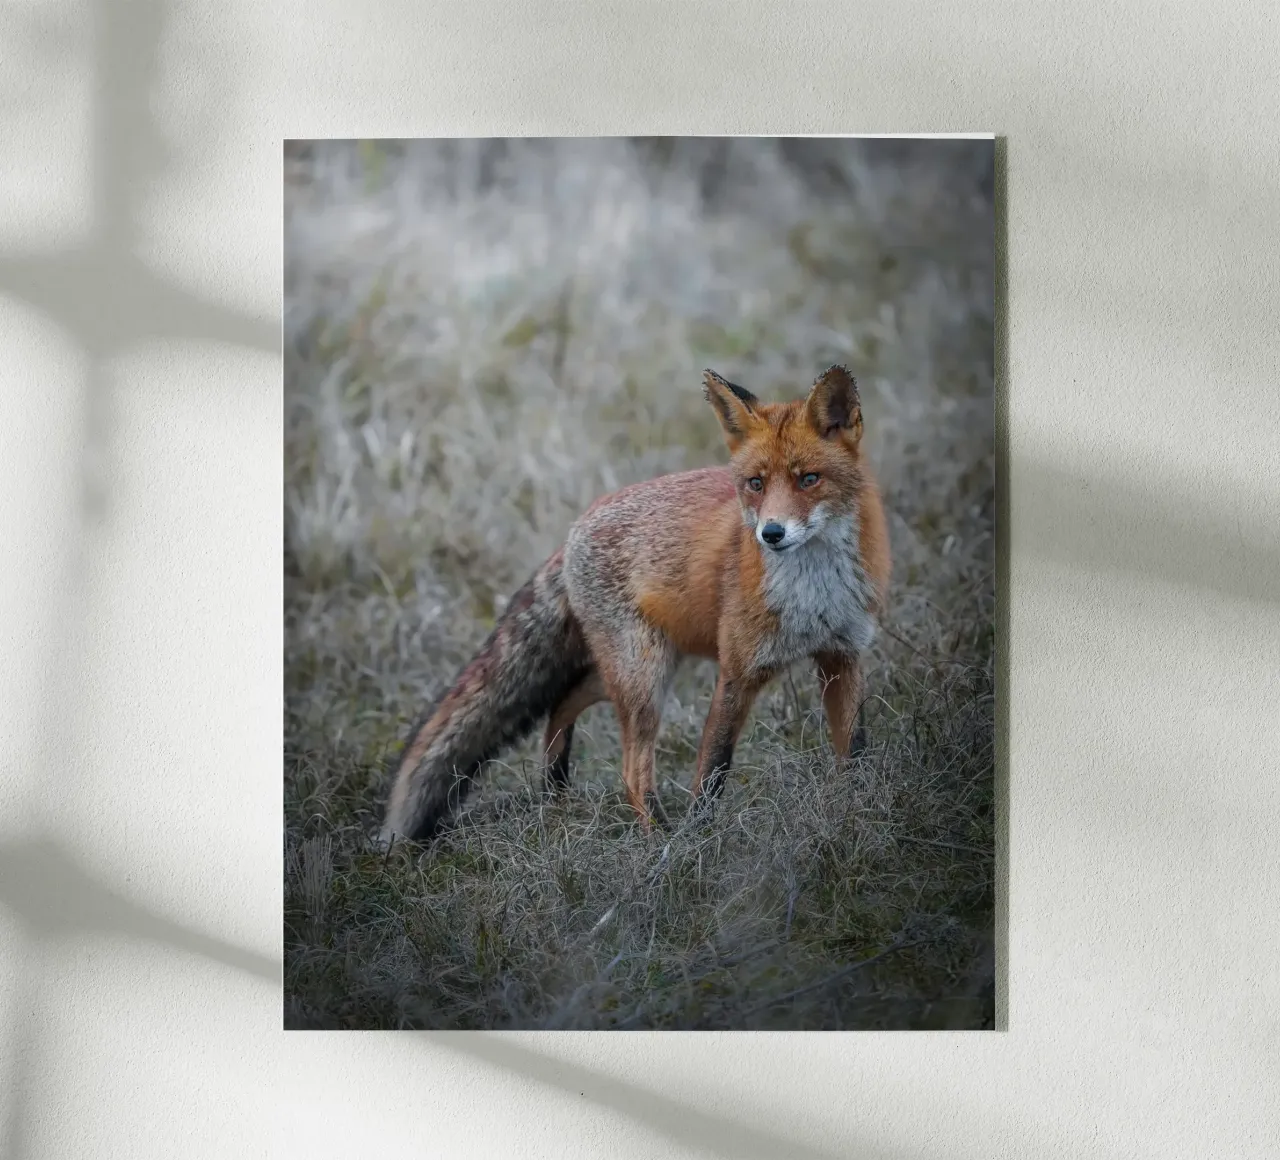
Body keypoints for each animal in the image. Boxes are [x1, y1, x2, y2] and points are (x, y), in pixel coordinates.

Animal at [380, 364, 891, 844]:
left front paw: (857, 812)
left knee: (563, 700)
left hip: (640, 668)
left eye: (809, 479)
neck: (812, 595)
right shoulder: (738, 670)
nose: (771, 533)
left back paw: (556, 787)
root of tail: (574, 529)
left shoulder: (842, 655)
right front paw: (697, 843)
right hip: (644, 676)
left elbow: (855, 750)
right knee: (630, 770)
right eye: (755, 484)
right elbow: (712, 772)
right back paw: (657, 838)